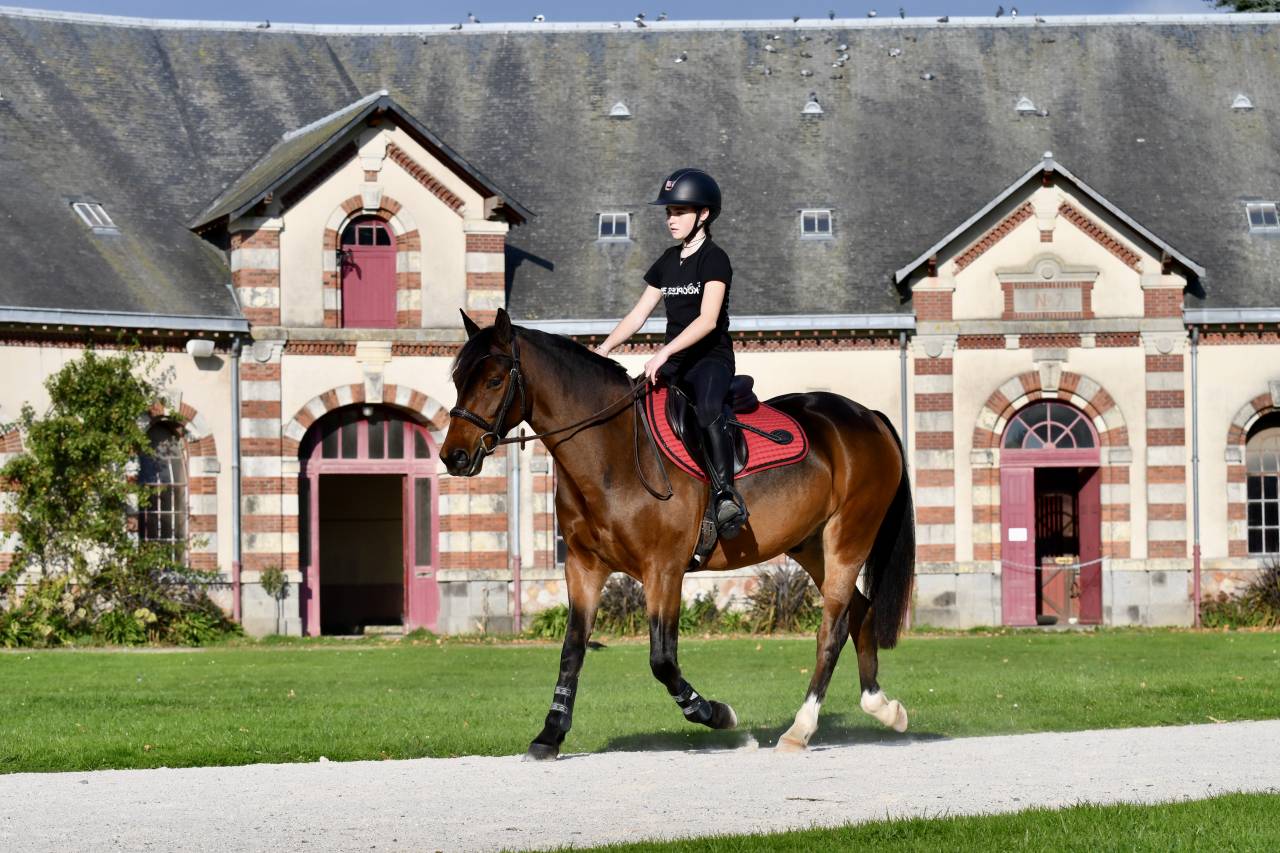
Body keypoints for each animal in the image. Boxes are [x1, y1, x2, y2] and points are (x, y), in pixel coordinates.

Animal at [441, 308, 915, 760]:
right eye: (458, 380)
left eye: (495, 380)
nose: (454, 456)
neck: (612, 453)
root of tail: (867, 416)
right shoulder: (583, 567)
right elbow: (572, 650)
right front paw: (550, 735)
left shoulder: (663, 570)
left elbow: (662, 661)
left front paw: (720, 715)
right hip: (812, 546)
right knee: (860, 611)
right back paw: (882, 707)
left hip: (848, 538)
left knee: (831, 631)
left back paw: (801, 729)